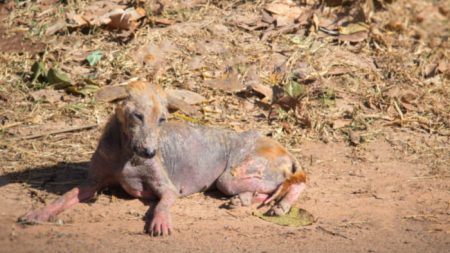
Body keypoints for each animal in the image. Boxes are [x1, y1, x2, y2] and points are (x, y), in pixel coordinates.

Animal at [18, 81, 306, 237]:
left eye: (163, 120)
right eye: (137, 116)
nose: (150, 153)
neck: (127, 154)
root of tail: (283, 147)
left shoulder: (168, 188)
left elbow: (162, 204)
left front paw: (160, 221)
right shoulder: (91, 183)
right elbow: (64, 198)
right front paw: (40, 213)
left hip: (233, 175)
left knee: (294, 182)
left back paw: (279, 205)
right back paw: (244, 200)